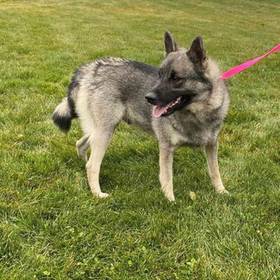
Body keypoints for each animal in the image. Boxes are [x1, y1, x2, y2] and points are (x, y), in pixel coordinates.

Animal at [52, 32, 230, 201]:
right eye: (159, 75)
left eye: (176, 78)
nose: (148, 98)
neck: (197, 113)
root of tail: (90, 68)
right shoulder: (166, 148)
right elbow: (167, 178)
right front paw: (170, 201)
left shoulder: (211, 145)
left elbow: (215, 171)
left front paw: (221, 191)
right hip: (105, 131)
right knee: (92, 165)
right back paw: (97, 194)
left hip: (101, 130)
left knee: (80, 145)